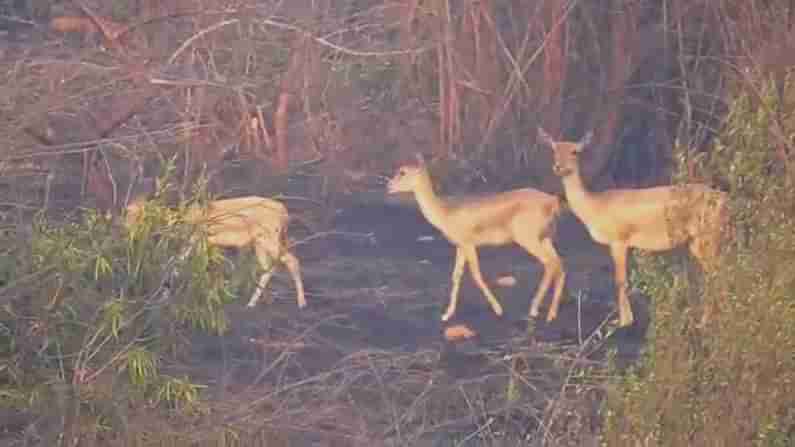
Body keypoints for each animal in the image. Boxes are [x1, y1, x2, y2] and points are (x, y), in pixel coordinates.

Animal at [126, 179, 306, 312]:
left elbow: (184, 265)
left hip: (270, 239)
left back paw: (301, 303)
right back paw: (254, 303)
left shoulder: (197, 240)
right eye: (126, 212)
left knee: (291, 261)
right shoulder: (205, 244)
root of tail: (285, 213)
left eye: (138, 214)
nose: (128, 232)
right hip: (260, 243)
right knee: (268, 268)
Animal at [388, 154, 568, 322]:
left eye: (403, 172)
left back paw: (534, 309)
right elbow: (456, 275)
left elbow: (476, 275)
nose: (389, 186)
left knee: (549, 264)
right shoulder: (459, 246)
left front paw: (498, 309)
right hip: (545, 239)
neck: (446, 213)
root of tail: (551, 201)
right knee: (559, 265)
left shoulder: (469, 245)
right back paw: (551, 314)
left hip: (529, 240)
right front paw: (447, 314)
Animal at [536, 128, 732, 328]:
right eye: (554, 149)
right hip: (697, 243)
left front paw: (624, 321)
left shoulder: (619, 242)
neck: (596, 206)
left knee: (719, 273)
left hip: (708, 239)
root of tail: (725, 199)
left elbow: (620, 280)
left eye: (575, 151)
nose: (558, 167)